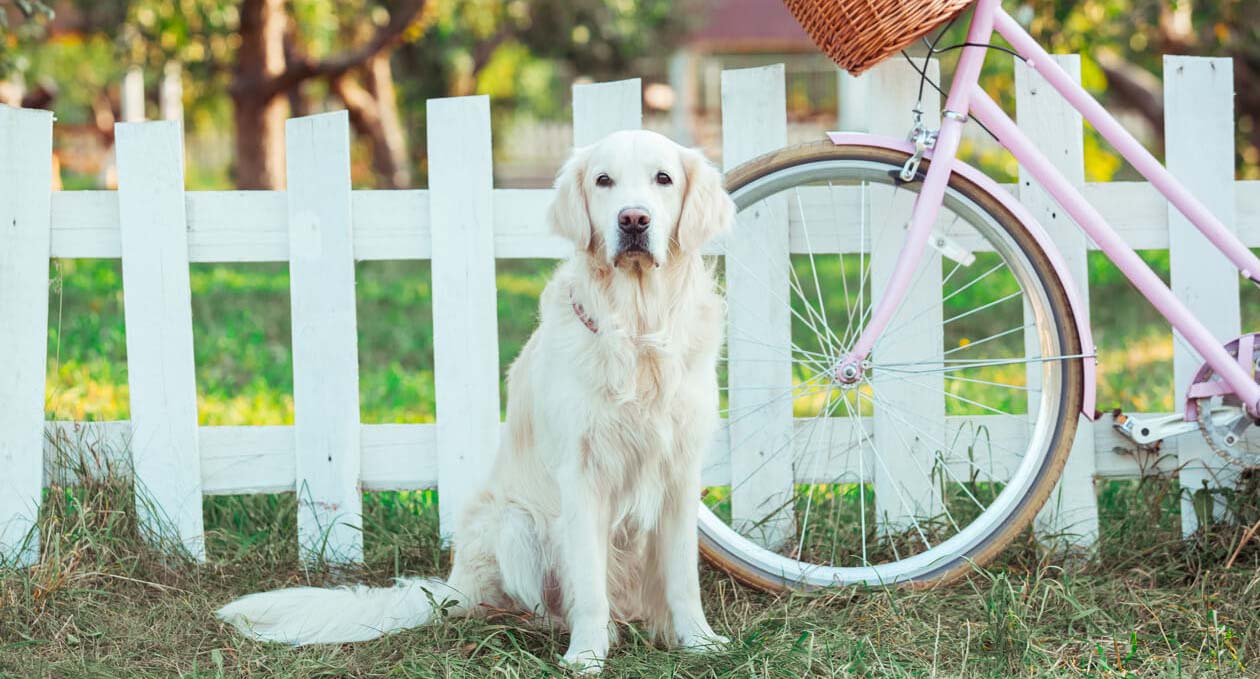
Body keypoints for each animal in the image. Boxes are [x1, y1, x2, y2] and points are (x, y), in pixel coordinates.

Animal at [212, 130, 735, 670]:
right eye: (603, 180)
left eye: (663, 178)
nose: (633, 220)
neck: (636, 332)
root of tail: (455, 584)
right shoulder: (581, 475)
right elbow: (590, 584)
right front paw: (587, 655)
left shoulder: (680, 474)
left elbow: (683, 578)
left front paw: (699, 641)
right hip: (512, 522)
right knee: (530, 604)